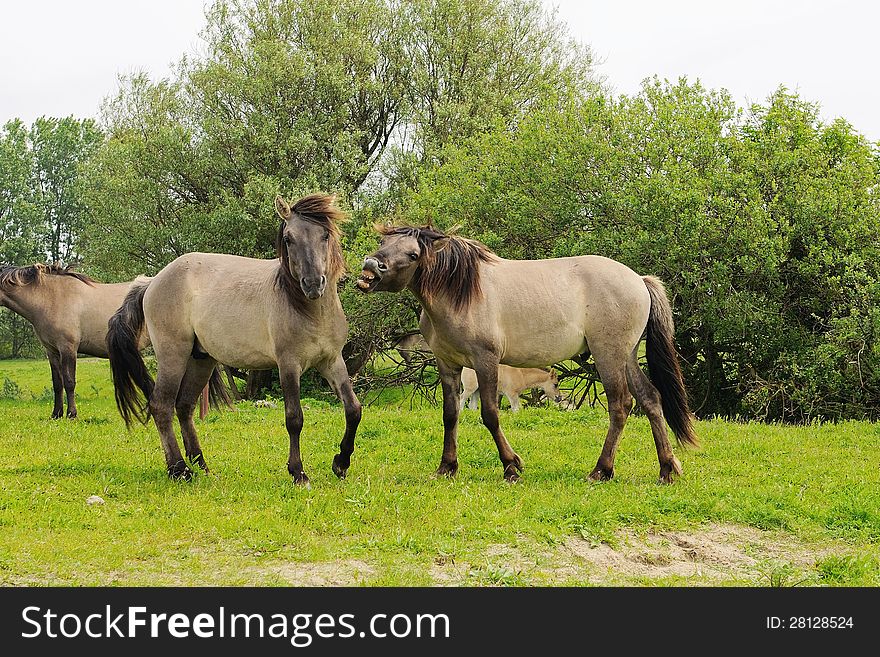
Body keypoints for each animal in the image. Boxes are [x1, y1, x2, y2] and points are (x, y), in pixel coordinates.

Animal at [0, 264, 150, 418]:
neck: (50, 298)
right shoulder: (52, 351)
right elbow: (57, 384)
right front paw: (56, 414)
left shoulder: (68, 348)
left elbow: (69, 382)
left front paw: (71, 414)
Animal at [106, 192, 360, 480]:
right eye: (288, 238)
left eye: (324, 235)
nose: (313, 283)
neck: (310, 311)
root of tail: (152, 281)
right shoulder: (288, 365)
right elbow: (294, 418)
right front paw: (298, 472)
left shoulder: (332, 361)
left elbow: (353, 409)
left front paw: (341, 462)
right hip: (173, 356)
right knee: (161, 406)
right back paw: (179, 469)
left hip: (201, 360)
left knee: (184, 406)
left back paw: (202, 465)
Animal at [356, 226, 696, 482]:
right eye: (383, 242)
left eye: (413, 254)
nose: (371, 267)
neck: (461, 292)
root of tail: (639, 280)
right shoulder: (447, 364)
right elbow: (450, 415)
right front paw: (447, 467)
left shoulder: (486, 361)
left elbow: (490, 414)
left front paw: (511, 466)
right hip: (626, 357)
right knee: (650, 399)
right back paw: (667, 468)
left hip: (608, 355)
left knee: (621, 405)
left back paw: (602, 470)